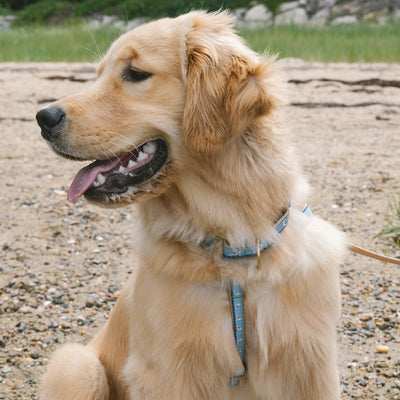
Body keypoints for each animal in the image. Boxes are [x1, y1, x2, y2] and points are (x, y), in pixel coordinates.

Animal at [36, 10, 346, 398]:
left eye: (135, 73)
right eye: (98, 76)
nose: (44, 118)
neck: (233, 251)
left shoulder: (309, 365)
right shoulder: (167, 372)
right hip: (78, 365)